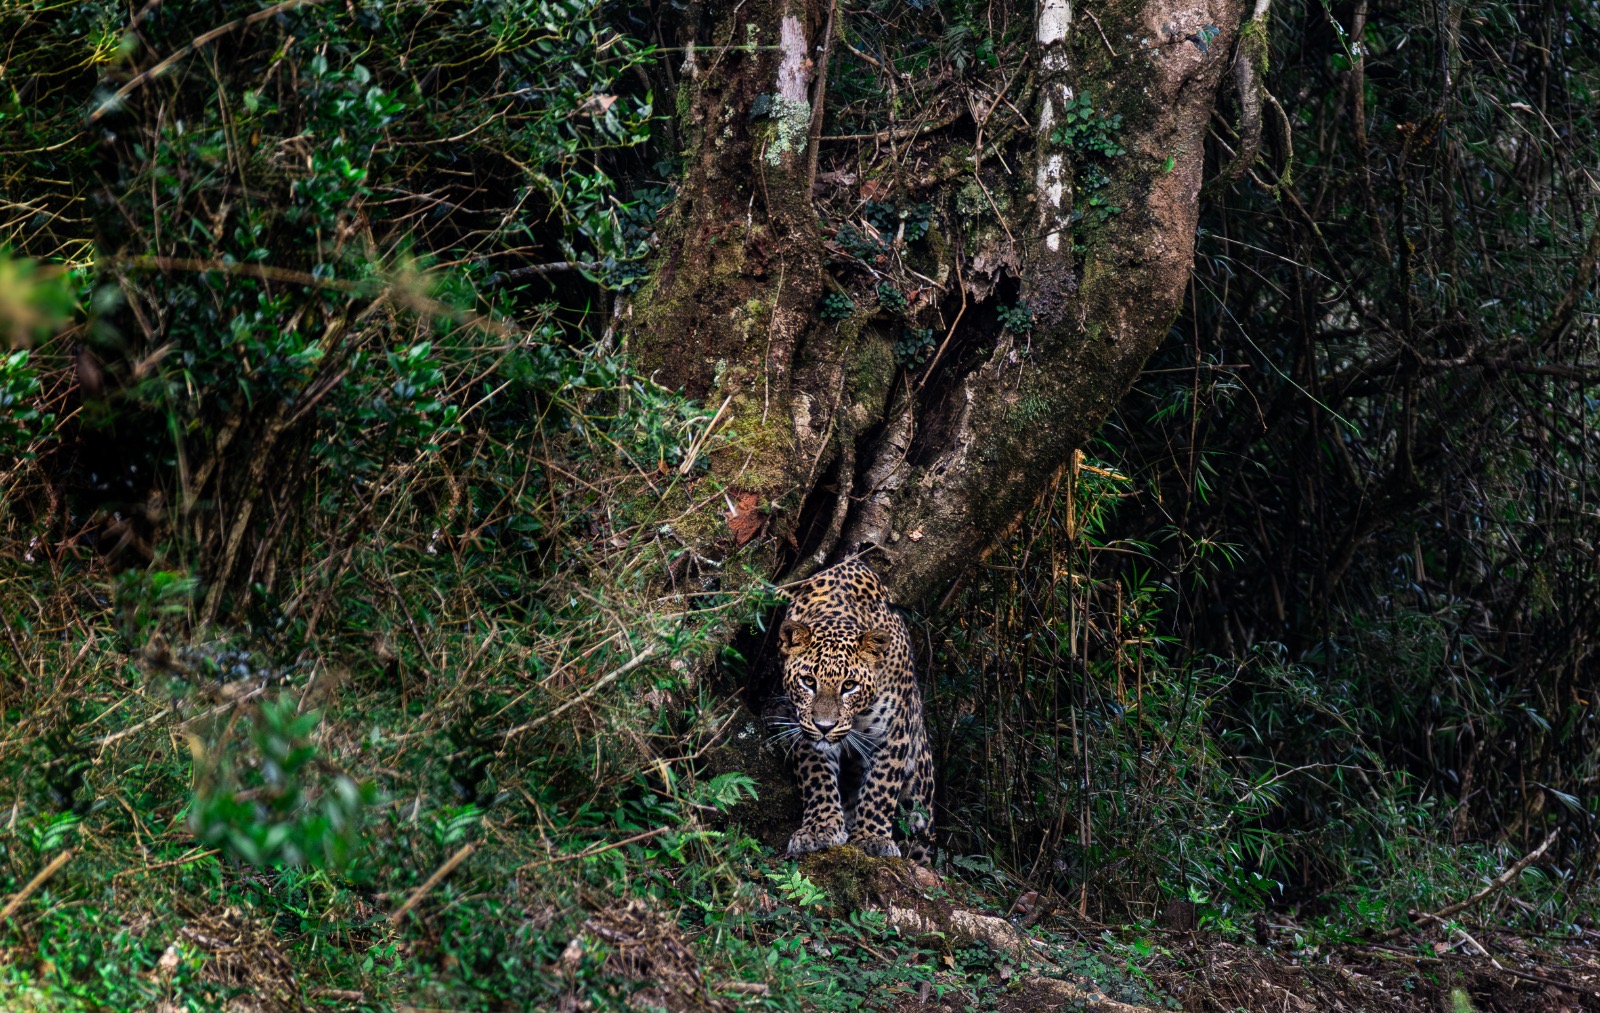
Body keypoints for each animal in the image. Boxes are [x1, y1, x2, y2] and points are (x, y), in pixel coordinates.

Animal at [769, 559, 934, 861]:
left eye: (849, 685)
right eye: (808, 681)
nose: (825, 726)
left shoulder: (893, 732)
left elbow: (881, 786)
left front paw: (872, 837)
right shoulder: (803, 726)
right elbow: (818, 778)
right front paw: (820, 829)